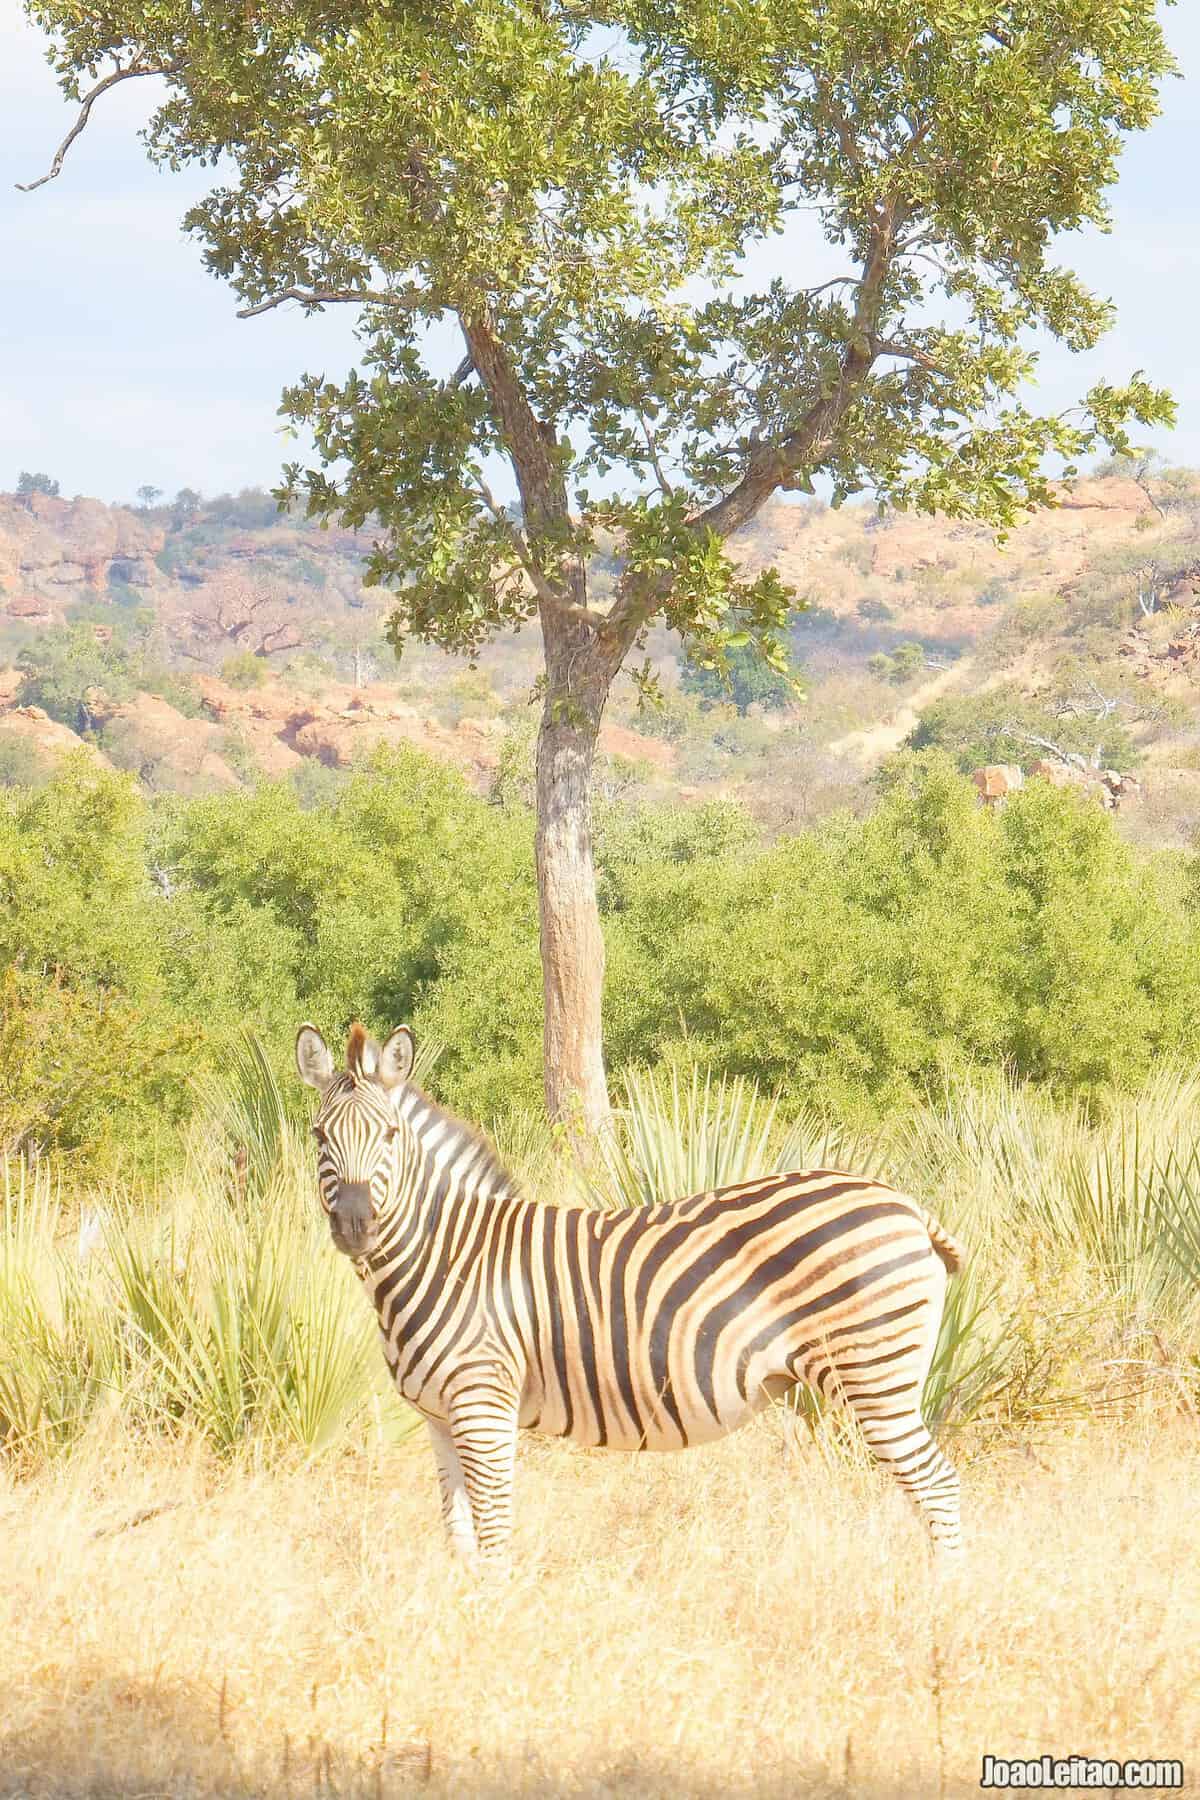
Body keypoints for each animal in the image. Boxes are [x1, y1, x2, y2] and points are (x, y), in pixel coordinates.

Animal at [298, 1029, 964, 1562]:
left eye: (389, 1134)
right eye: (318, 1135)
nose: (355, 1225)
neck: (448, 1255)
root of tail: (907, 1205)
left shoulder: (484, 1403)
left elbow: (493, 1532)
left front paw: (494, 1621)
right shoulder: (439, 1418)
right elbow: (459, 1537)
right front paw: (465, 1617)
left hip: (873, 1376)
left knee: (938, 1486)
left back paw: (943, 1600)